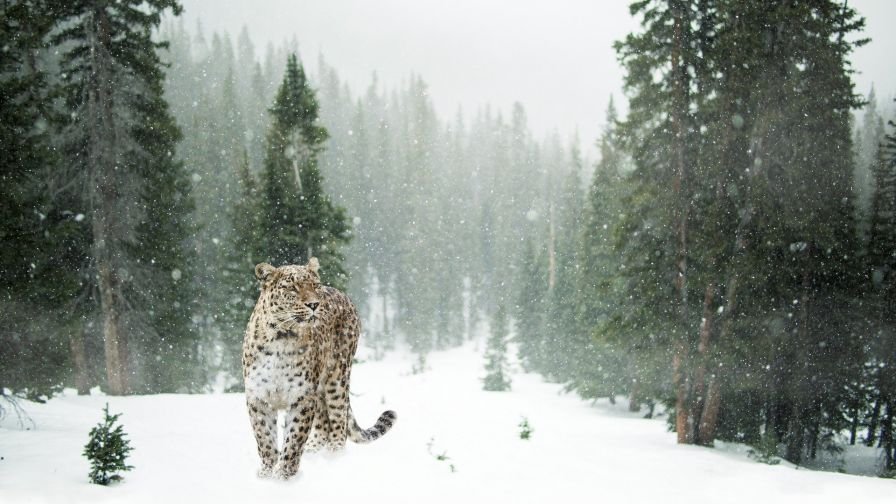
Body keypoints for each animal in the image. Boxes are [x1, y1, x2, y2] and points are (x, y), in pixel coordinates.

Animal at [242, 257, 396, 480]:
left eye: (315, 285)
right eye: (292, 287)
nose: (314, 304)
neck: (282, 338)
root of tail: (342, 294)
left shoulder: (302, 397)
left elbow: (294, 439)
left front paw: (284, 476)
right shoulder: (259, 397)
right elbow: (265, 439)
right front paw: (266, 474)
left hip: (337, 377)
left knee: (339, 421)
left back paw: (334, 458)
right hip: (321, 389)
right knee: (323, 423)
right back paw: (314, 452)